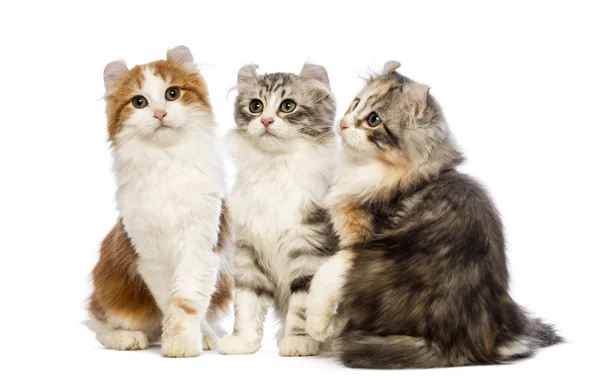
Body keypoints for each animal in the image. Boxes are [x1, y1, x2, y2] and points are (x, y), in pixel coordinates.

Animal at [88, 46, 233, 358]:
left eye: (172, 94)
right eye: (139, 102)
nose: (159, 114)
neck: (166, 162)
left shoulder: (199, 246)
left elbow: (187, 301)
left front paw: (183, 343)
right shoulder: (149, 255)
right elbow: (169, 301)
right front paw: (182, 340)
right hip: (110, 289)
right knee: (98, 325)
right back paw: (127, 338)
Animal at [216, 63, 340, 356]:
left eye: (288, 106)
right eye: (256, 106)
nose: (266, 121)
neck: (274, 166)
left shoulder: (309, 253)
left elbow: (302, 308)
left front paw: (299, 342)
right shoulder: (248, 255)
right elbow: (247, 306)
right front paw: (242, 342)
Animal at [304, 60, 564, 368]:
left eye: (374, 120)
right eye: (355, 104)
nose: (343, 123)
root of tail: (462, 345)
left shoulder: (360, 243)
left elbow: (326, 274)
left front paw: (315, 325)